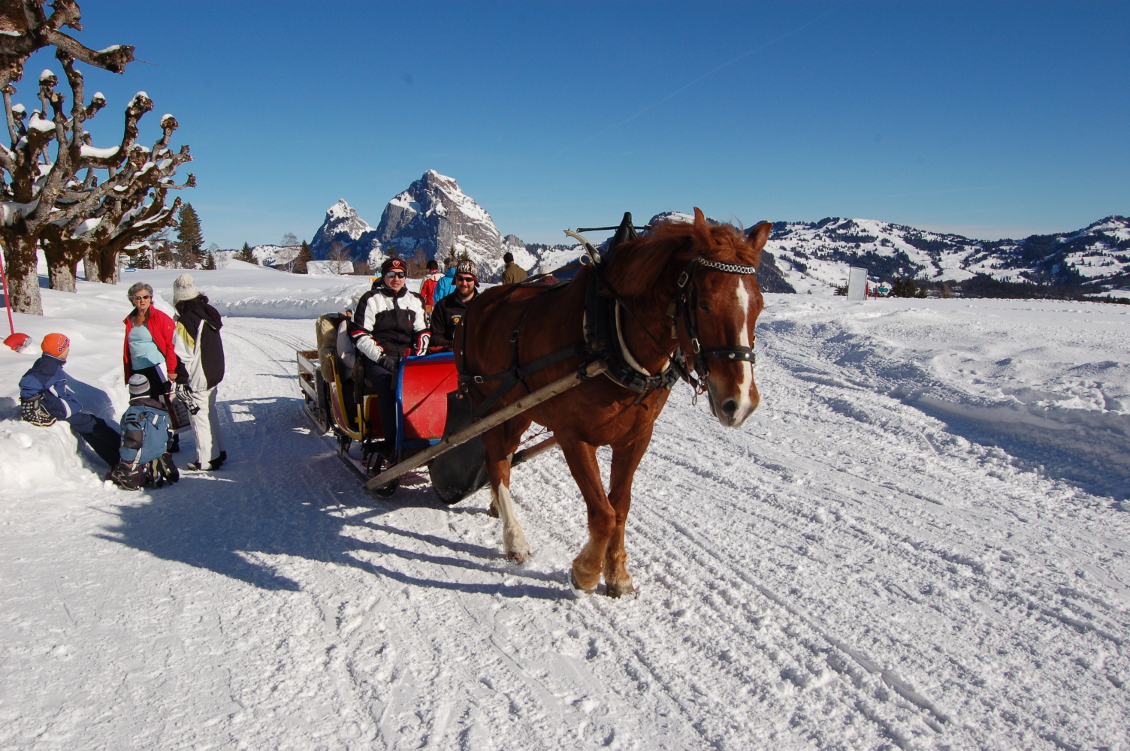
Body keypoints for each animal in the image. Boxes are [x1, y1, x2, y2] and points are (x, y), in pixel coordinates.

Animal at [454, 207, 772, 596]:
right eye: (704, 303)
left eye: (759, 305)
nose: (740, 403)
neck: (608, 335)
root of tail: (476, 305)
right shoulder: (573, 436)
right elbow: (603, 513)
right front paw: (587, 571)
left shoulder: (636, 437)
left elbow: (619, 506)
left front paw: (617, 574)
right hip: (491, 404)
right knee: (497, 461)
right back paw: (514, 539)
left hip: (520, 410)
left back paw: (498, 507)